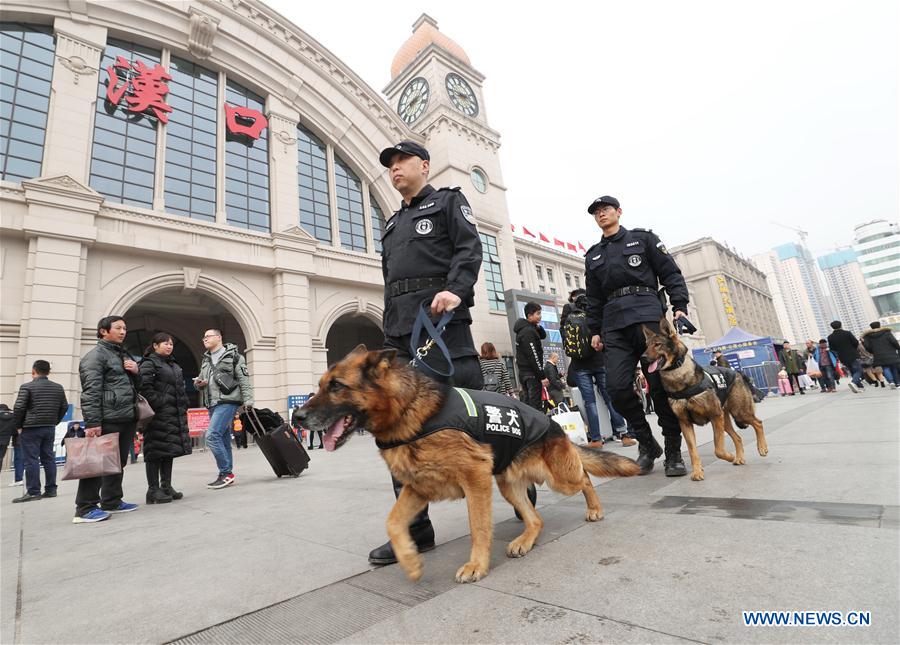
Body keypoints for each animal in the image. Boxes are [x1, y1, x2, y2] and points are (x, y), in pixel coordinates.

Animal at [300, 348, 640, 584]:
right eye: (321, 385)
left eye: (336, 386)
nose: (298, 417)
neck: (410, 410)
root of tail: (554, 426)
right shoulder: (418, 488)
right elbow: (393, 523)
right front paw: (410, 560)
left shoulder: (475, 479)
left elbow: (478, 527)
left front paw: (477, 565)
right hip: (507, 483)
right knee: (536, 518)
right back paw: (525, 540)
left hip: (558, 477)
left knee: (584, 476)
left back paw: (594, 508)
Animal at [640, 320, 768, 480]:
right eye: (646, 346)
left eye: (657, 344)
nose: (642, 357)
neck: (678, 375)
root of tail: (737, 372)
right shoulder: (685, 423)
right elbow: (693, 451)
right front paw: (697, 472)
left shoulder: (714, 416)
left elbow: (719, 450)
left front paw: (729, 456)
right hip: (725, 420)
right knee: (738, 437)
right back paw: (739, 458)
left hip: (738, 413)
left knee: (758, 423)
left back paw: (762, 448)